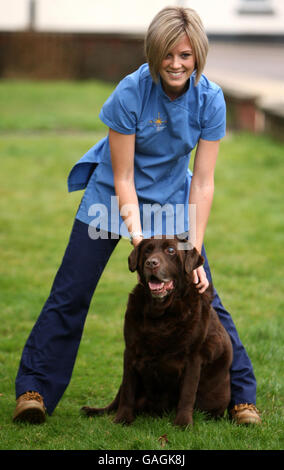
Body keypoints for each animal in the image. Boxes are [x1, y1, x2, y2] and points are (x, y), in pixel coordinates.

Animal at [81, 239, 233, 426]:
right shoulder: (130, 351)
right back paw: (94, 410)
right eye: (147, 251)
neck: (161, 313)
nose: (151, 263)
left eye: (171, 250)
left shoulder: (193, 357)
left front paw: (183, 423)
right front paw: (122, 419)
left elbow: (187, 393)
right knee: (119, 395)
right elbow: (128, 391)